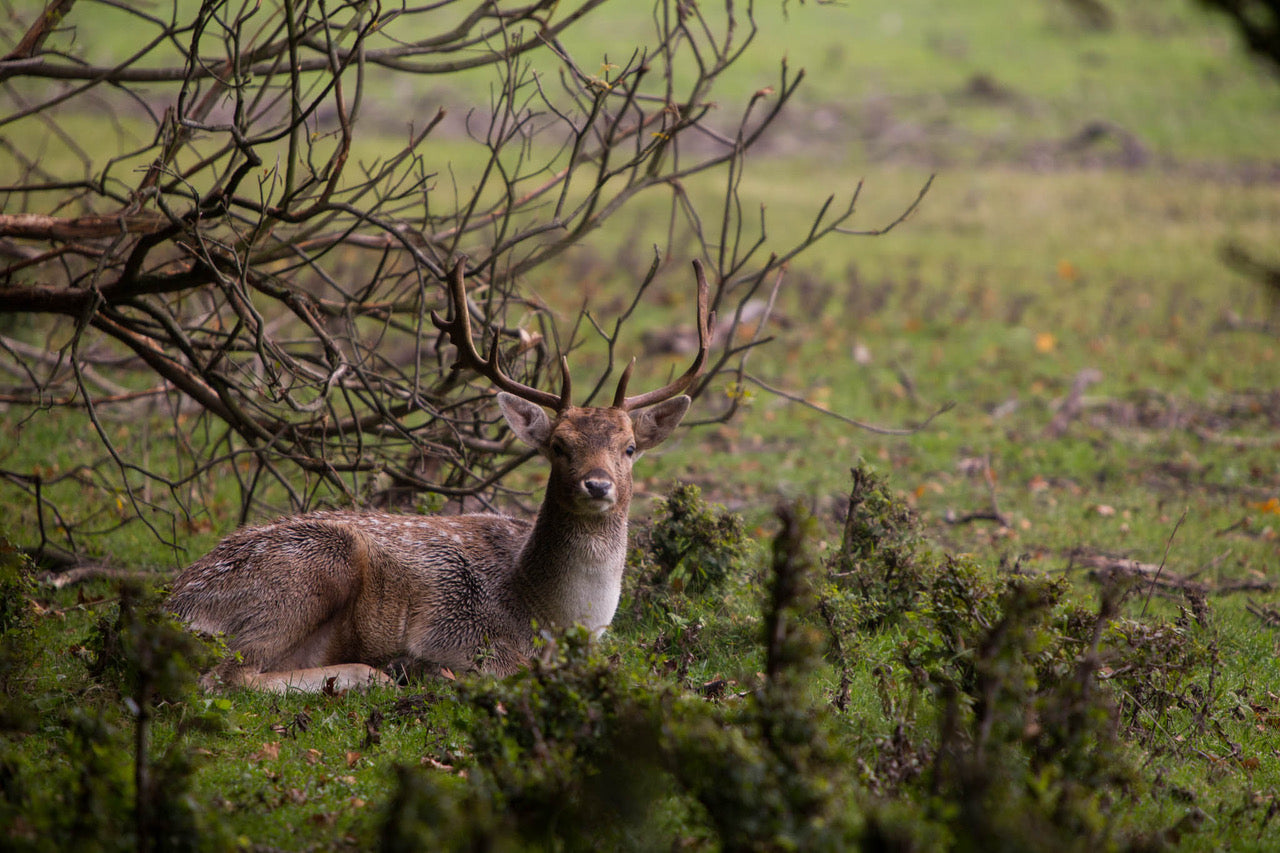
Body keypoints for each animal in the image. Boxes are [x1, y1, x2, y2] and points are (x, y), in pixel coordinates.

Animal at [165, 258, 716, 691]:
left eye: (629, 448)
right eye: (559, 446)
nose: (597, 484)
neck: (549, 616)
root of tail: (175, 606)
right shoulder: (462, 634)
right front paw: (419, 668)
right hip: (312, 567)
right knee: (225, 677)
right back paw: (375, 674)